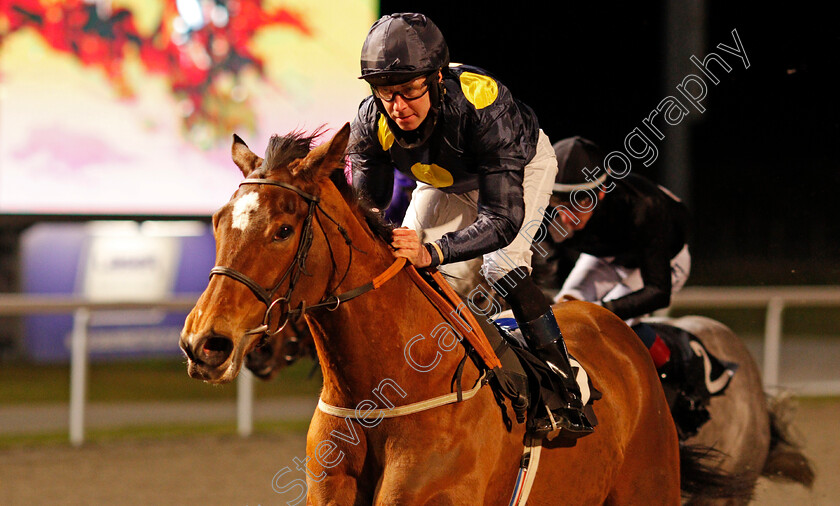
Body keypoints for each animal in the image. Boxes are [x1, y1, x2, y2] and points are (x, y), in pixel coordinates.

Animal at [180, 124, 744, 504]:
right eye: (219, 221)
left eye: (282, 229)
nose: (204, 343)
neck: (383, 398)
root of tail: (619, 335)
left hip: (650, 485)